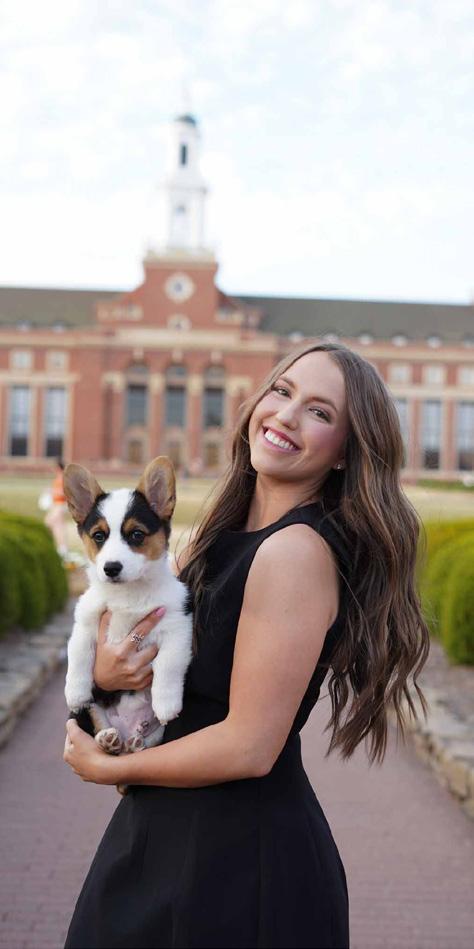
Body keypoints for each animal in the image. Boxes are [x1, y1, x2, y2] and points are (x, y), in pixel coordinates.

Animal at [63, 455, 193, 756]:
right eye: (99, 536)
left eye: (136, 534)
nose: (111, 568)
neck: (128, 593)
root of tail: (127, 731)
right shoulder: (84, 624)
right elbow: (78, 655)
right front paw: (75, 692)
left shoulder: (177, 627)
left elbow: (168, 665)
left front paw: (166, 704)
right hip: (95, 711)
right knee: (100, 726)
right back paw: (108, 739)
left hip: (155, 735)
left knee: (142, 746)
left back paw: (136, 742)